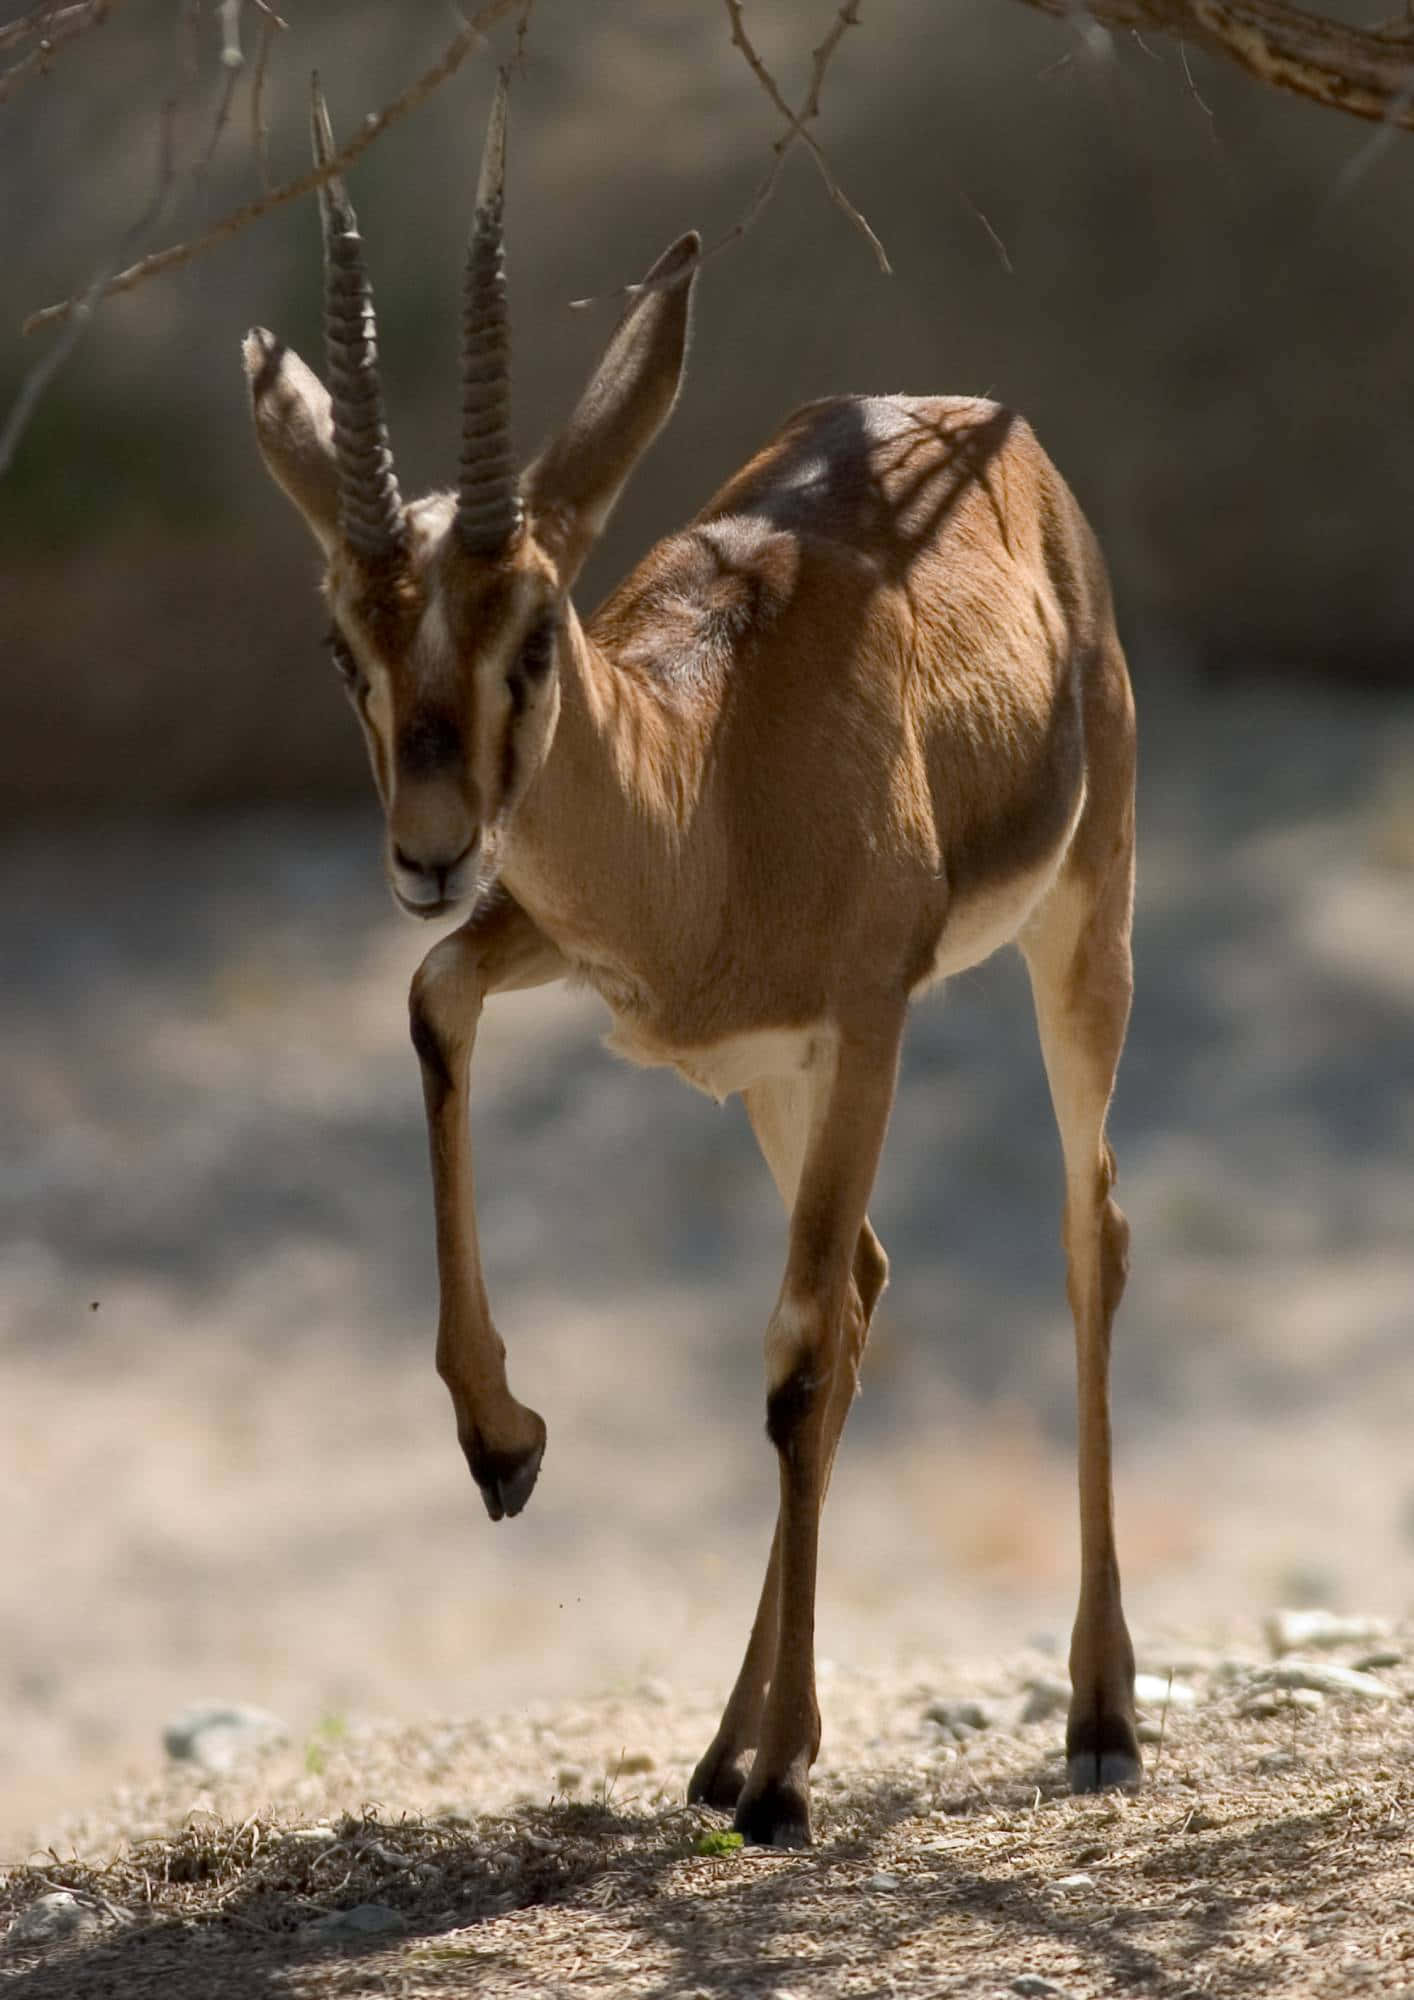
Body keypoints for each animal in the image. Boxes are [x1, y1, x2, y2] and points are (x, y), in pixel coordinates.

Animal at [242, 75, 1140, 1847]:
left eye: (533, 628)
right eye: (344, 642)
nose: (429, 846)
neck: (711, 781)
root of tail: (984, 425)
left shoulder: (867, 1020)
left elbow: (790, 1365)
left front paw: (792, 1779)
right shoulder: (601, 966)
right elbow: (430, 1001)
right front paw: (501, 1443)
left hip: (1079, 926)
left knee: (1082, 1235)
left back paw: (1091, 1720)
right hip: (773, 1086)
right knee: (863, 1284)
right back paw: (725, 1750)